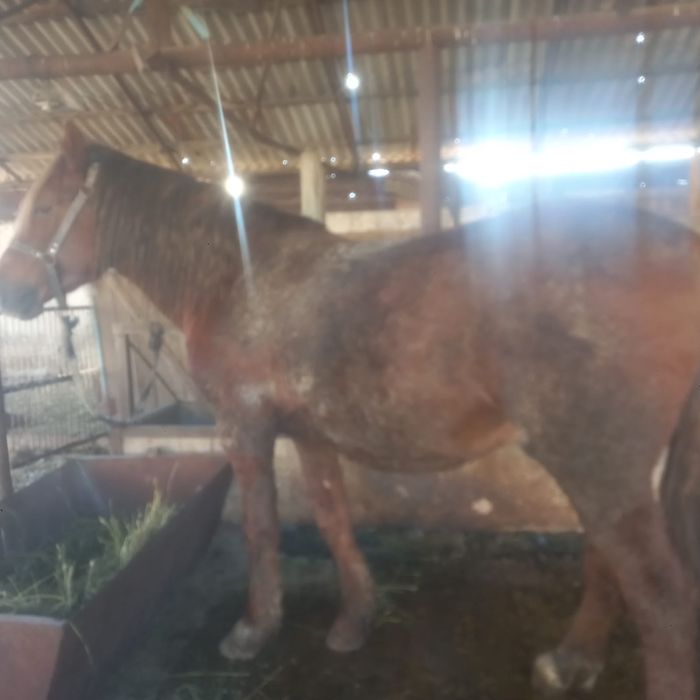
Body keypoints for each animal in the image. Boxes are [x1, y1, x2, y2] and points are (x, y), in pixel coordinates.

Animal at [0, 123, 699, 700]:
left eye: (45, 207)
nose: (10, 293)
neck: (235, 280)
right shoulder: (311, 434)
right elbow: (334, 518)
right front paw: (355, 620)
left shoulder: (246, 431)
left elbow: (261, 529)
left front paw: (255, 629)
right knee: (607, 560)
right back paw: (572, 662)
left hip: (596, 464)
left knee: (661, 602)